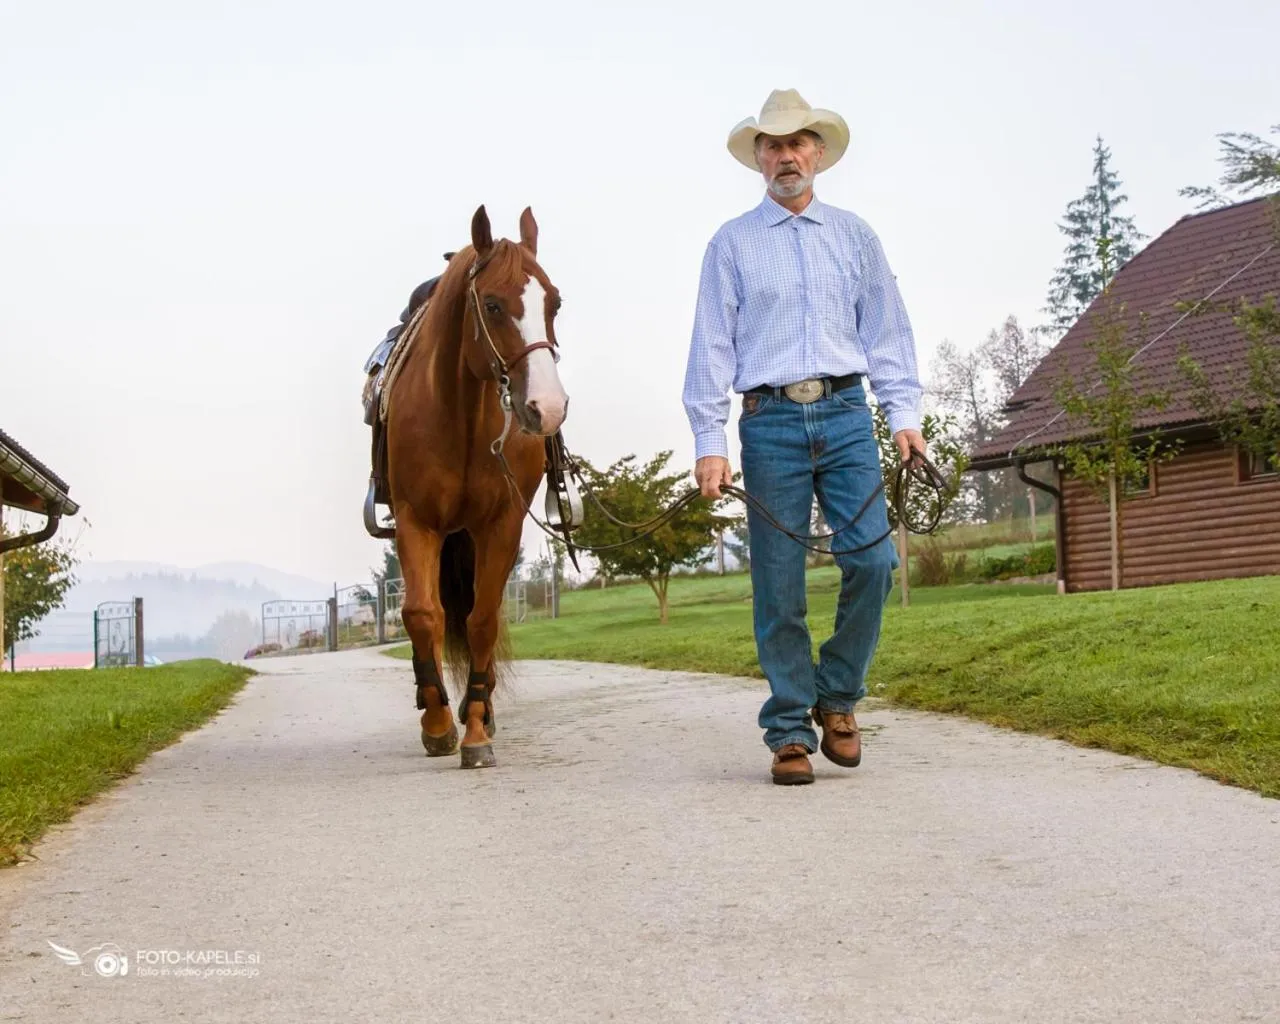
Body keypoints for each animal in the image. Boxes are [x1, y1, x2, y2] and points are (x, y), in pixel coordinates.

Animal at [385, 205, 568, 769]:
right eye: (491, 305)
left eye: (554, 302)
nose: (547, 408)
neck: (462, 416)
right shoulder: (416, 521)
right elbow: (423, 616)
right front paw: (440, 724)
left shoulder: (500, 525)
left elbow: (482, 619)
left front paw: (477, 731)